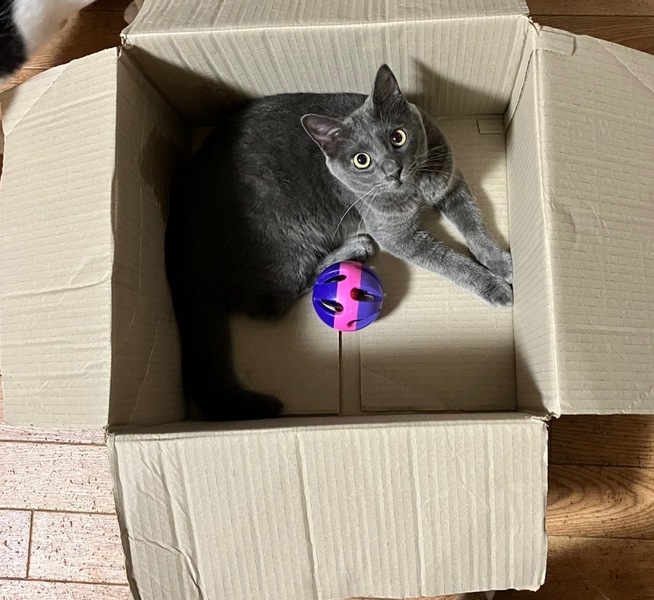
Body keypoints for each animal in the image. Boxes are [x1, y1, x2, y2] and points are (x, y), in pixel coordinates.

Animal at [165, 64, 513, 421]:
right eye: (362, 160)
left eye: (398, 137)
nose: (393, 171)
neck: (416, 190)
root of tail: (175, 248)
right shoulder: (397, 236)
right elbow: (449, 261)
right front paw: (493, 287)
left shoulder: (451, 183)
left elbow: (475, 225)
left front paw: (501, 262)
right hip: (286, 243)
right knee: (275, 302)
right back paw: (357, 247)